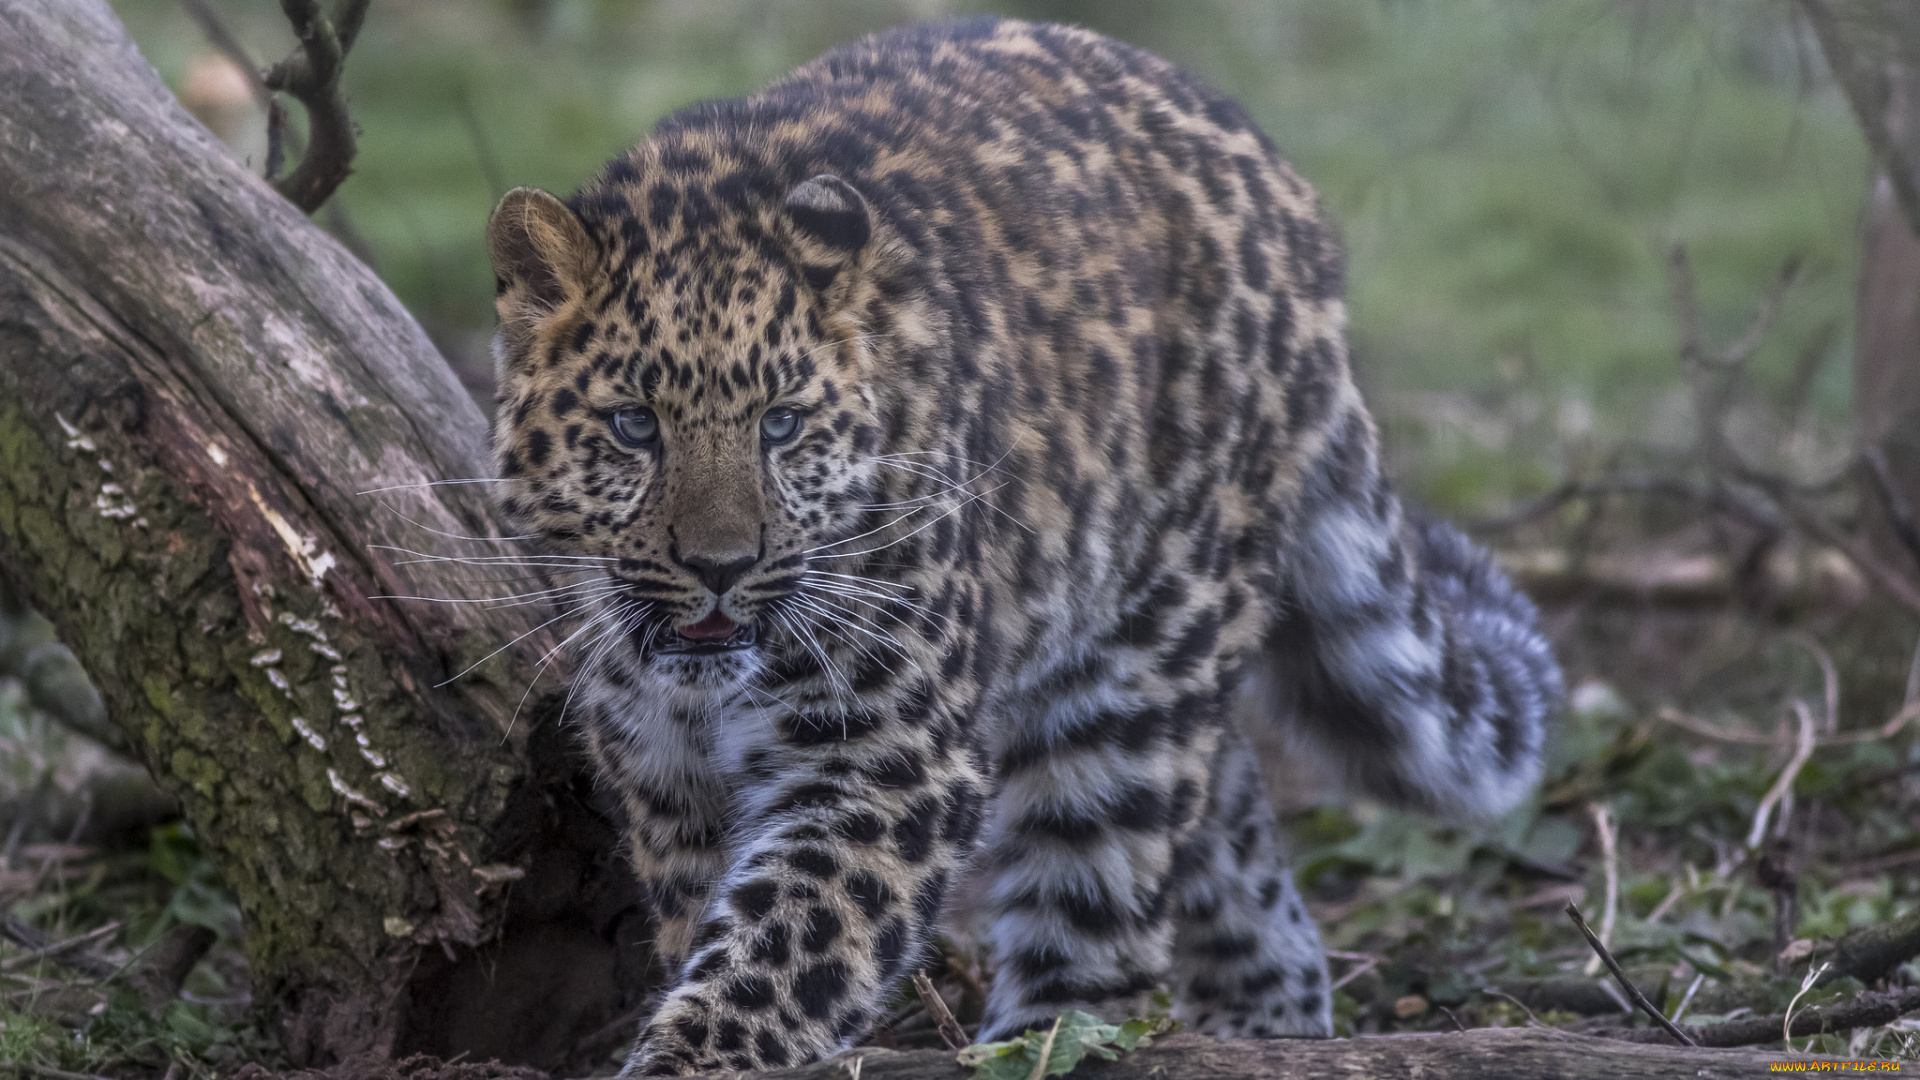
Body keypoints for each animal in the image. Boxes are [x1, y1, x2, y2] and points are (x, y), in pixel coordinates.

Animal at [483, 17, 1560, 1076]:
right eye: (633, 426)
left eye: (782, 425)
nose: (721, 569)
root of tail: (1288, 196)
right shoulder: (663, 772)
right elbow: (705, 923)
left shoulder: (887, 762)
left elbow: (782, 957)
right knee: (1229, 803)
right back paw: (1270, 1016)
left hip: (1139, 653)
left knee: (1104, 907)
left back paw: (1047, 1038)